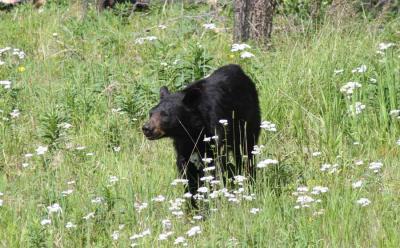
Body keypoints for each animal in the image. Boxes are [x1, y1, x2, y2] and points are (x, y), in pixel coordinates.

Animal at [142, 64, 260, 205]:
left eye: (165, 115)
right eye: (151, 113)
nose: (146, 128)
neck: (193, 130)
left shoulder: (214, 131)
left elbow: (212, 168)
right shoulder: (183, 145)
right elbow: (186, 172)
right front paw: (192, 204)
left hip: (247, 123)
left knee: (247, 153)